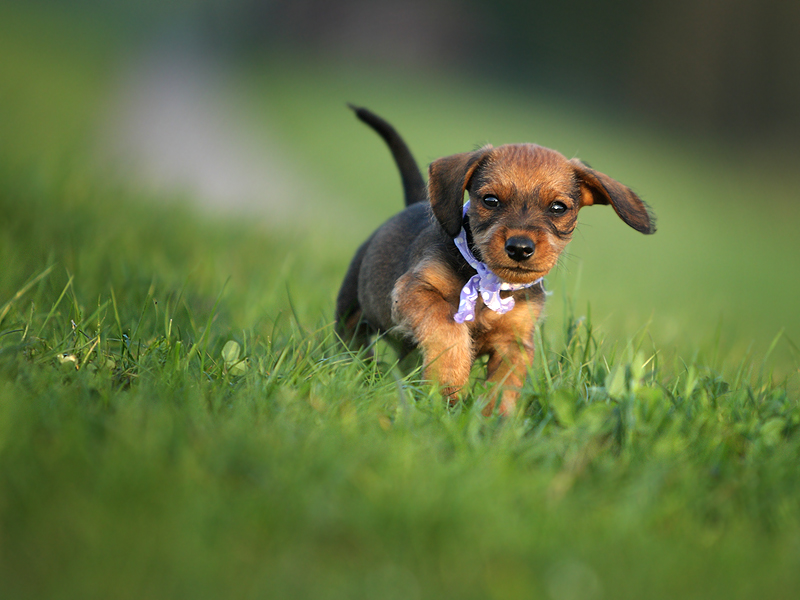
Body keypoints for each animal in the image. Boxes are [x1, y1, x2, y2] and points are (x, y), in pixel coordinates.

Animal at [334, 105, 652, 414]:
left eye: (558, 208)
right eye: (490, 200)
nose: (520, 248)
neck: (488, 283)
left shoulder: (514, 343)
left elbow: (504, 386)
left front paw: (493, 420)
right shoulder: (416, 290)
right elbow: (448, 330)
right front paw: (450, 384)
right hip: (352, 313)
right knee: (351, 341)